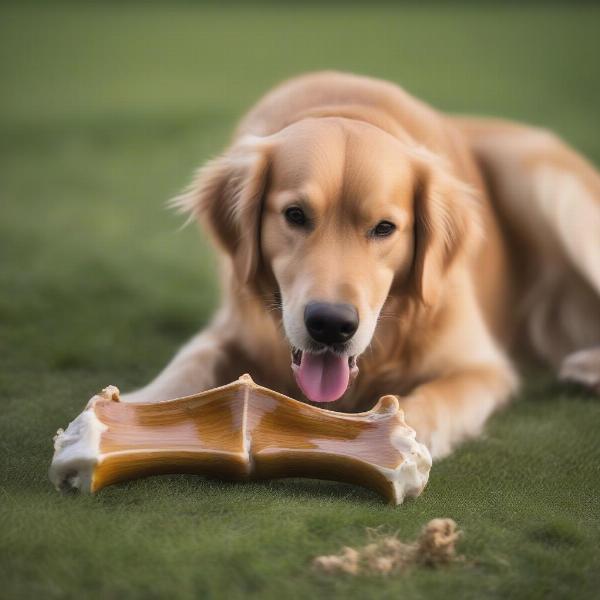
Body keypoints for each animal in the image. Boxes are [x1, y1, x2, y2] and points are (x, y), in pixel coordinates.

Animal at [122, 72, 600, 460]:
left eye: (384, 227)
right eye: (295, 215)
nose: (330, 325)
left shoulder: (483, 367)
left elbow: (435, 397)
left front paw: (402, 438)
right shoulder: (233, 325)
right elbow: (192, 360)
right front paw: (136, 411)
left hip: (551, 190)